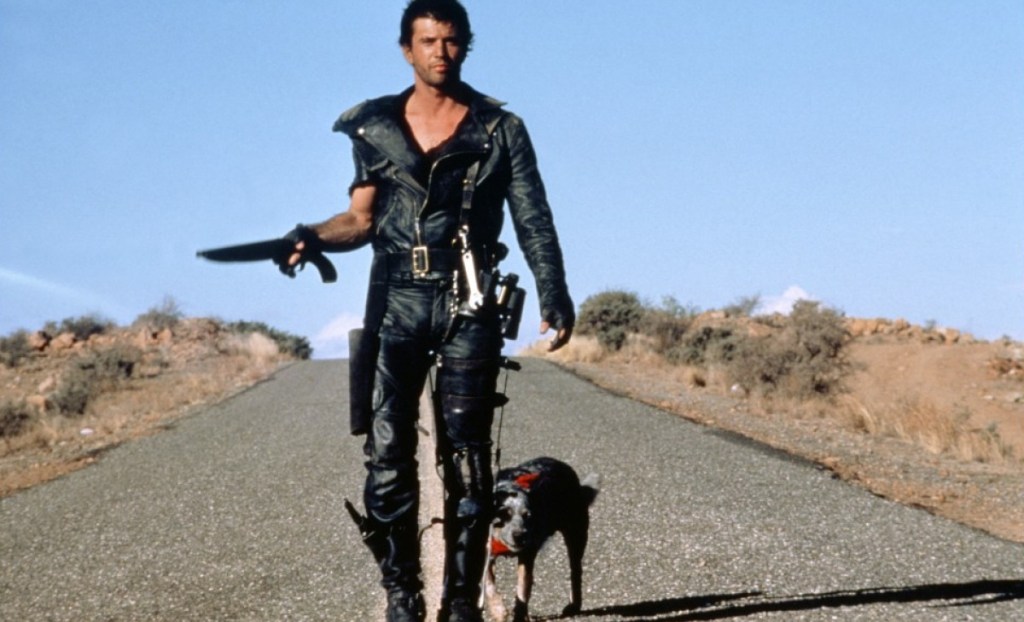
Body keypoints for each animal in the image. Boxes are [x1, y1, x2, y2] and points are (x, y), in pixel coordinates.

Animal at [483, 457, 600, 622]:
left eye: (528, 515)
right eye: (504, 513)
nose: (520, 535)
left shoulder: (527, 555)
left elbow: (522, 587)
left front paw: (520, 615)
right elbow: (489, 585)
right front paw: (498, 610)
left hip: (576, 533)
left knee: (575, 571)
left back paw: (574, 605)